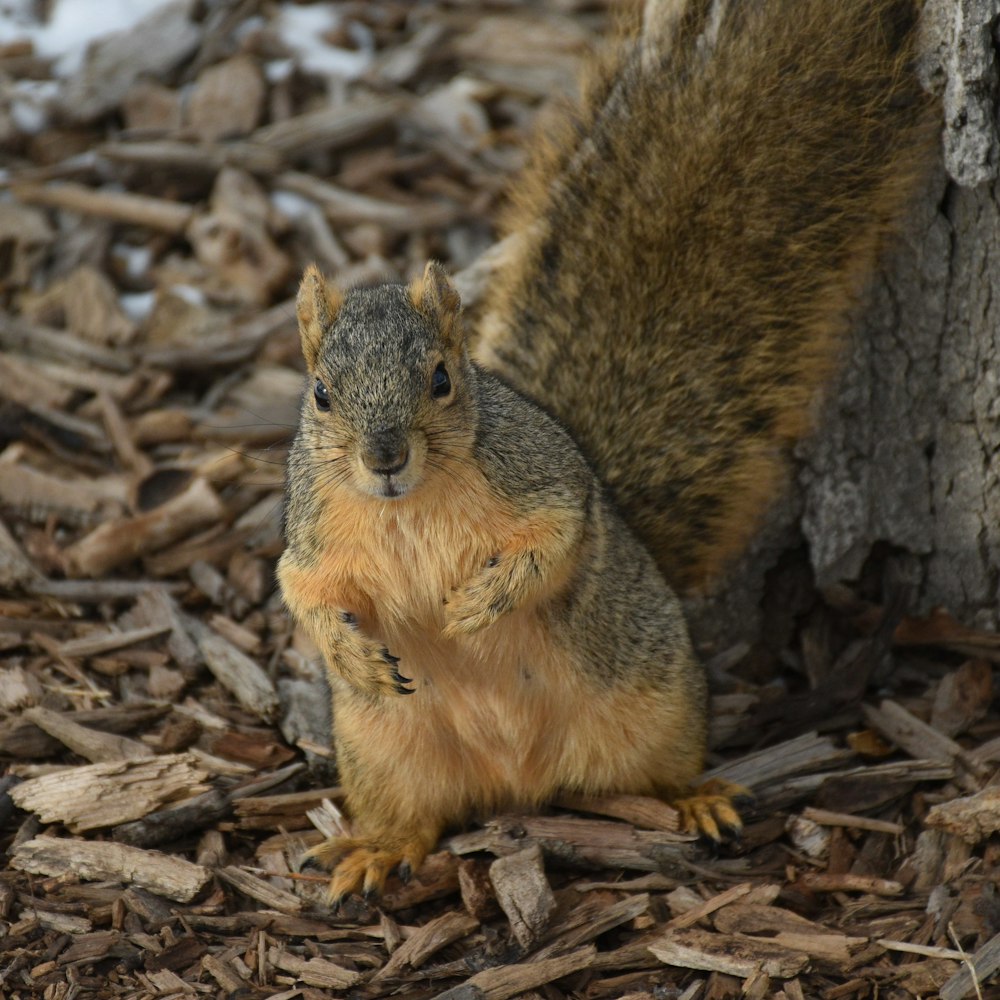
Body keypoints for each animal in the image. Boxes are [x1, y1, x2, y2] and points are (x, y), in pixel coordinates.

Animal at [276, 0, 936, 908]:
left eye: (442, 379)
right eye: (320, 394)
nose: (382, 458)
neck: (407, 508)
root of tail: (518, 782)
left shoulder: (548, 483)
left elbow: (556, 541)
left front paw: (477, 606)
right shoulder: (313, 536)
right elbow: (301, 591)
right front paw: (349, 651)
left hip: (657, 704)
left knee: (663, 770)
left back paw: (695, 800)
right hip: (385, 751)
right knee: (413, 818)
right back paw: (376, 848)